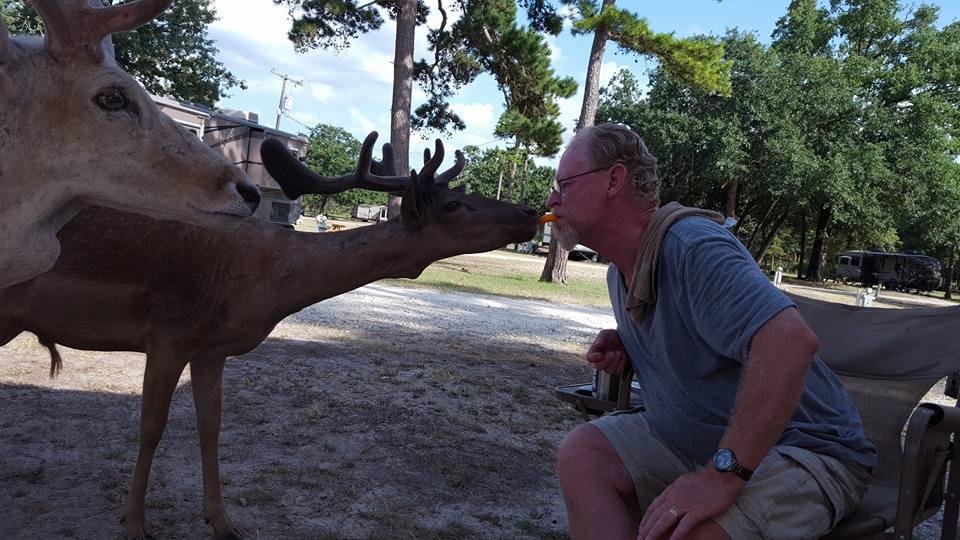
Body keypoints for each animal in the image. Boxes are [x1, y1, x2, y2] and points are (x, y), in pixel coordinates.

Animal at [0, 132, 539, 539]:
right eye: (453, 203)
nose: (531, 213)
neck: (260, 282)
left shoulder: (210, 350)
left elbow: (211, 427)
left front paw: (222, 522)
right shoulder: (167, 334)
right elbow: (150, 428)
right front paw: (134, 524)